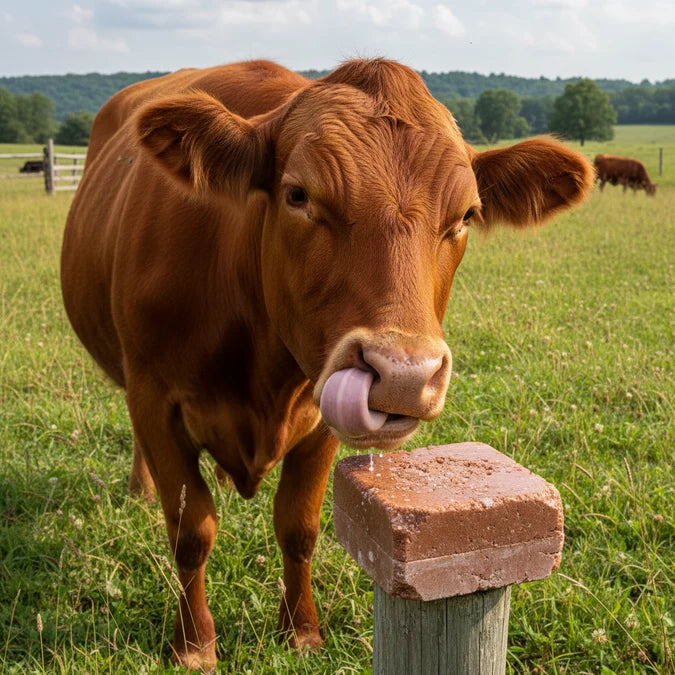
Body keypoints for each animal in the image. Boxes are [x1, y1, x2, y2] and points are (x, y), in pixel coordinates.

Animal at [61, 59, 594, 669]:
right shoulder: (155, 398)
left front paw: (301, 631)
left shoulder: (318, 416)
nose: (404, 374)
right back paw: (140, 490)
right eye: (298, 195)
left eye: (466, 215)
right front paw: (193, 645)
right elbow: (192, 530)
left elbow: (299, 526)